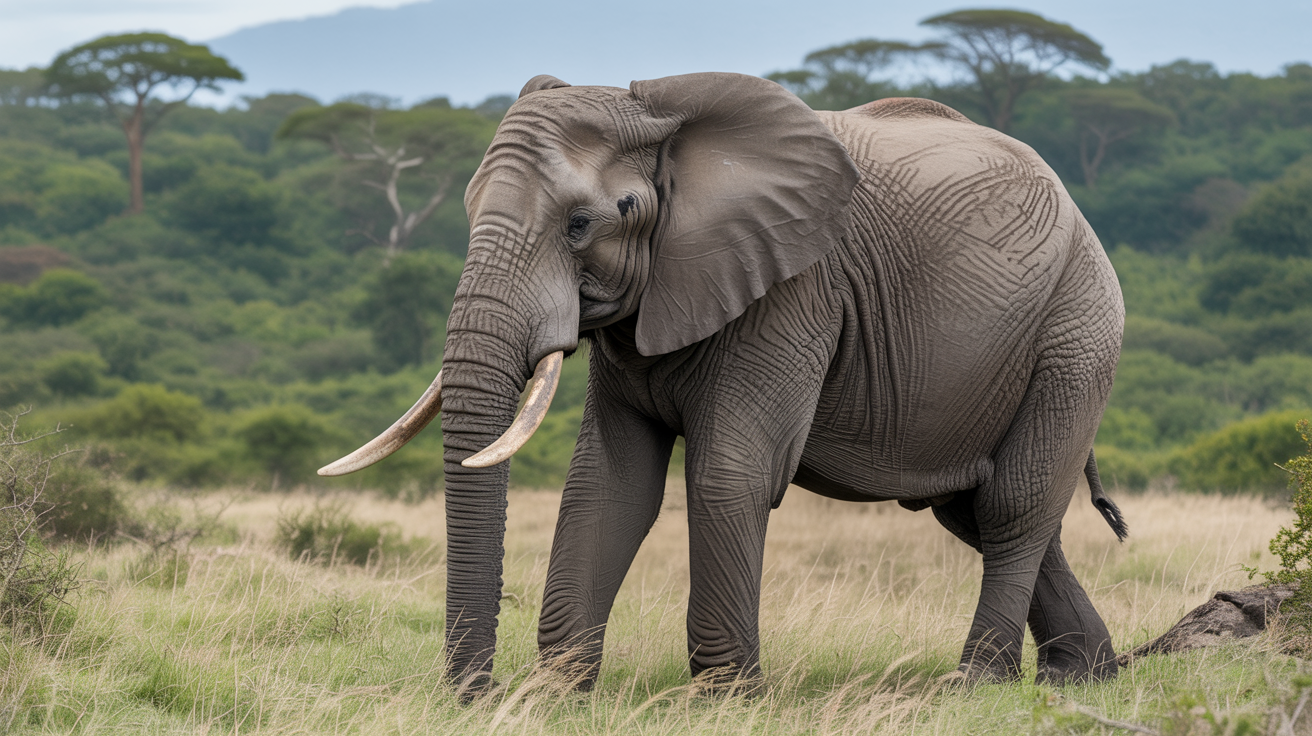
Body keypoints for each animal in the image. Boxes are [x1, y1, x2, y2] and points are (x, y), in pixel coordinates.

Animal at [320, 71, 1129, 693]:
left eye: (580, 224)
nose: (476, 694)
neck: (658, 112)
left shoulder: (795, 288)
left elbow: (727, 475)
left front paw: (727, 698)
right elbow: (606, 484)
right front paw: (555, 697)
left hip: (1076, 331)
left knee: (1012, 505)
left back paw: (975, 685)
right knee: (974, 509)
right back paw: (1085, 677)